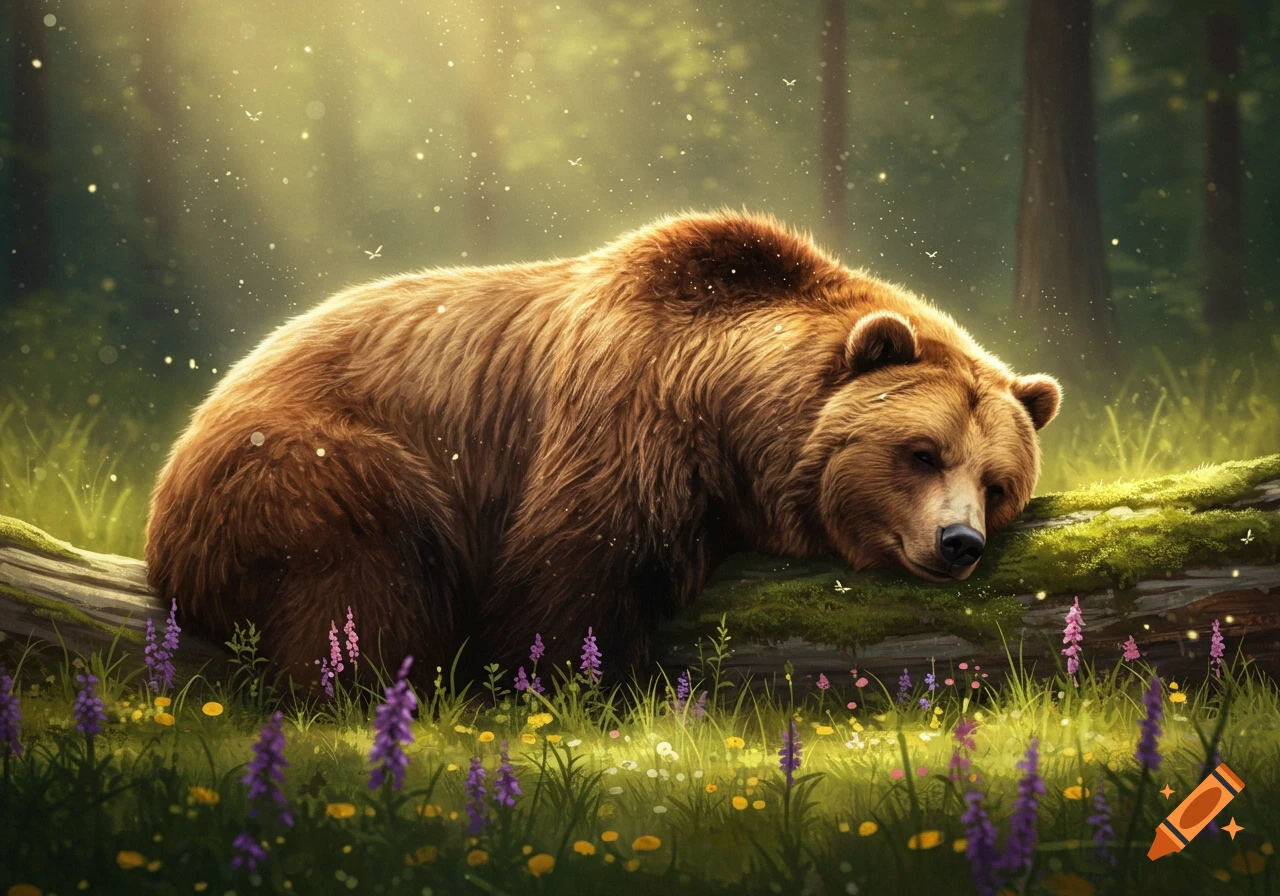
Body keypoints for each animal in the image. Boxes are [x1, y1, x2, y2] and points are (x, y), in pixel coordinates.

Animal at [145, 210, 1061, 682]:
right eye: (922, 451)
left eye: (997, 481)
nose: (960, 541)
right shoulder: (624, 409)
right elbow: (569, 571)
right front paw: (572, 682)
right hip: (311, 464)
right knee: (367, 576)